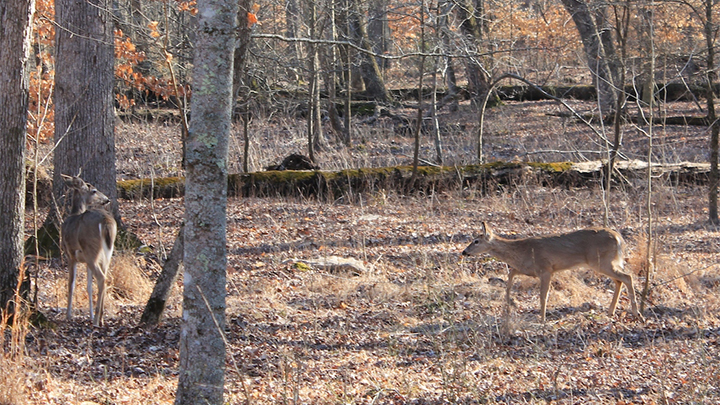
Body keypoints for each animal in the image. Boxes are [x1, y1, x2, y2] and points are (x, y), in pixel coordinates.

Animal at [61, 174, 117, 326]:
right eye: (94, 191)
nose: (107, 199)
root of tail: (106, 221)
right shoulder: (85, 260)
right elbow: (88, 286)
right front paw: (90, 315)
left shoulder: (71, 254)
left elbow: (71, 284)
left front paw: (68, 315)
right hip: (106, 253)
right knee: (104, 277)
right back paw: (100, 317)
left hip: (90, 249)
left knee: (102, 278)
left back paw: (97, 320)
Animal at [464, 221, 644, 322]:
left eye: (476, 241)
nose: (464, 252)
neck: (522, 251)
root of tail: (619, 238)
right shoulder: (529, 270)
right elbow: (510, 275)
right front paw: (509, 302)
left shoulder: (546, 269)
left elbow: (543, 296)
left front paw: (542, 319)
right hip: (605, 262)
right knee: (619, 280)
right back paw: (611, 311)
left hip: (601, 262)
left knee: (627, 277)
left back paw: (637, 313)